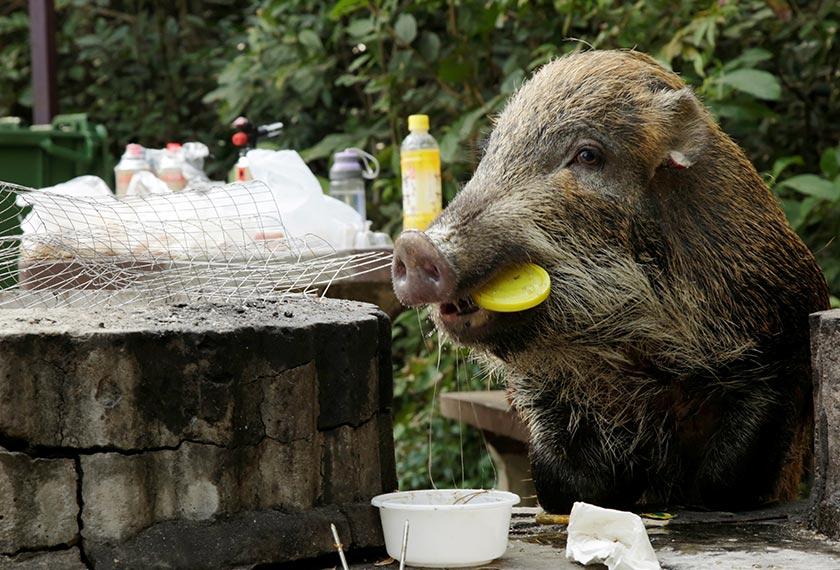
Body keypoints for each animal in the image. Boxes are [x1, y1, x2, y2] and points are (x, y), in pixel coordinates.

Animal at [391, 50, 830, 513]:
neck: (634, 356)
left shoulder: (781, 339)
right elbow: (561, 481)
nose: (414, 245)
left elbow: (726, 478)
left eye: (588, 155)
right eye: (491, 155)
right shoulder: (540, 392)